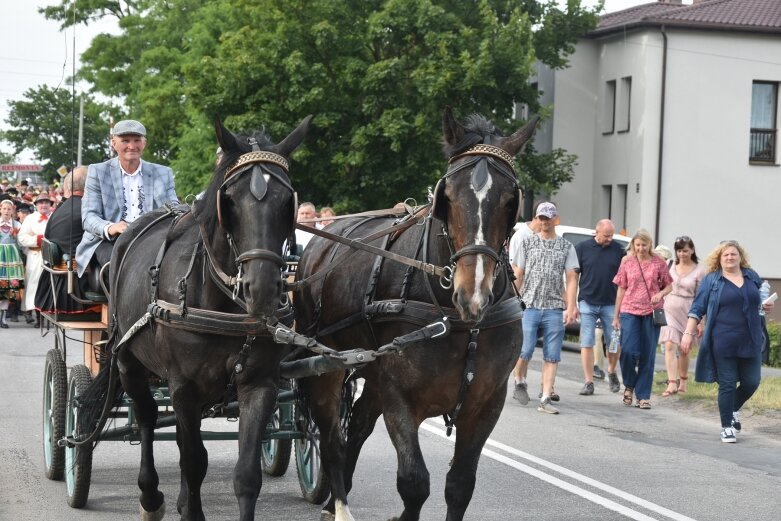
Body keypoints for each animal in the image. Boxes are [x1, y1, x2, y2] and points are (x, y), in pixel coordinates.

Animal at [76, 116, 310, 516]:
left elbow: (246, 474)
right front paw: (185, 505)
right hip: (129, 361)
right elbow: (194, 460)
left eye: (286, 202)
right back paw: (151, 496)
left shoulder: (259, 383)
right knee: (147, 418)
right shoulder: (182, 384)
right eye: (228, 200)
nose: (262, 289)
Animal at [296, 106, 540, 520]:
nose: (472, 294)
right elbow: (413, 482)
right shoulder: (400, 396)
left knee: (356, 426)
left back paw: (333, 498)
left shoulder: (487, 401)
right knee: (329, 434)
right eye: (448, 197)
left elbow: (460, 486)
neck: (459, 325)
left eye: (511, 201)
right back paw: (339, 502)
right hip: (325, 365)